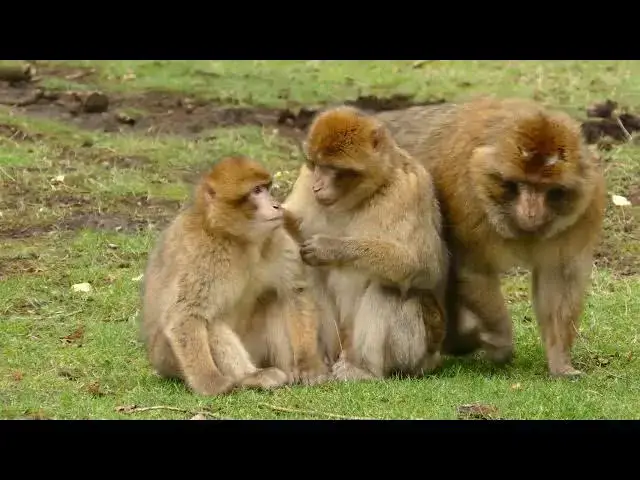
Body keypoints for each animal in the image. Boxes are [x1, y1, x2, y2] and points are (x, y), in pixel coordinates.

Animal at [139, 156, 329, 396]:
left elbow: (294, 292)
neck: (238, 240)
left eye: (266, 188)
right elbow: (186, 315)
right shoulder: (200, 253)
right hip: (167, 358)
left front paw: (308, 364)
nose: (276, 205)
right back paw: (251, 377)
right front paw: (210, 382)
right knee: (210, 322)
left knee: (275, 299)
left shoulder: (277, 238)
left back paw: (288, 371)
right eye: (256, 191)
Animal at [282, 106, 448, 381]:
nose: (318, 186)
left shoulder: (409, 189)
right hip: (336, 341)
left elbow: (425, 268)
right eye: (316, 165)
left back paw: (365, 370)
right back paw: (315, 364)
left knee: (390, 286)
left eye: (333, 168)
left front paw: (330, 247)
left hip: (415, 354)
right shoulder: (305, 180)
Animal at [375, 96, 606, 378]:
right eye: (521, 184)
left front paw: (560, 361)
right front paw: (501, 340)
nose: (531, 211)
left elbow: (559, 279)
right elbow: (474, 271)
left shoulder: (584, 209)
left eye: (545, 188)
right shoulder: (466, 197)